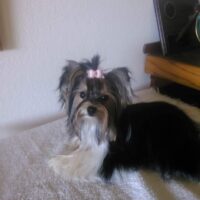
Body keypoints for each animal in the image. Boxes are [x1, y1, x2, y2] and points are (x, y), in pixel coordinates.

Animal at [48, 55, 200, 182]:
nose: (91, 109)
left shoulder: (104, 157)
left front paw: (58, 162)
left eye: (104, 97)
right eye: (82, 95)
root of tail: (188, 125)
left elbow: (80, 159)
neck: (94, 123)